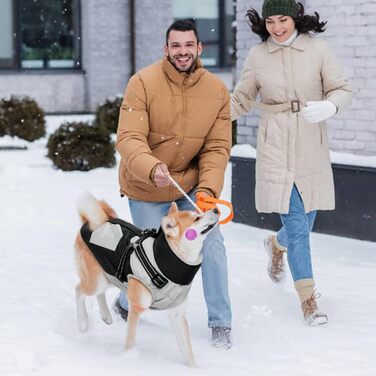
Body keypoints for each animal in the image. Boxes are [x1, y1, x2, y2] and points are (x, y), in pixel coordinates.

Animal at [74, 192, 219, 366]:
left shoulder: (177, 314)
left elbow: (187, 350)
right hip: (97, 281)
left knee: (98, 293)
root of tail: (93, 222)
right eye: (196, 218)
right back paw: (82, 322)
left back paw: (106, 316)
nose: (216, 209)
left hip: (108, 276)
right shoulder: (136, 307)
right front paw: (128, 357)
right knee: (78, 290)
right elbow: (131, 340)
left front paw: (193, 368)